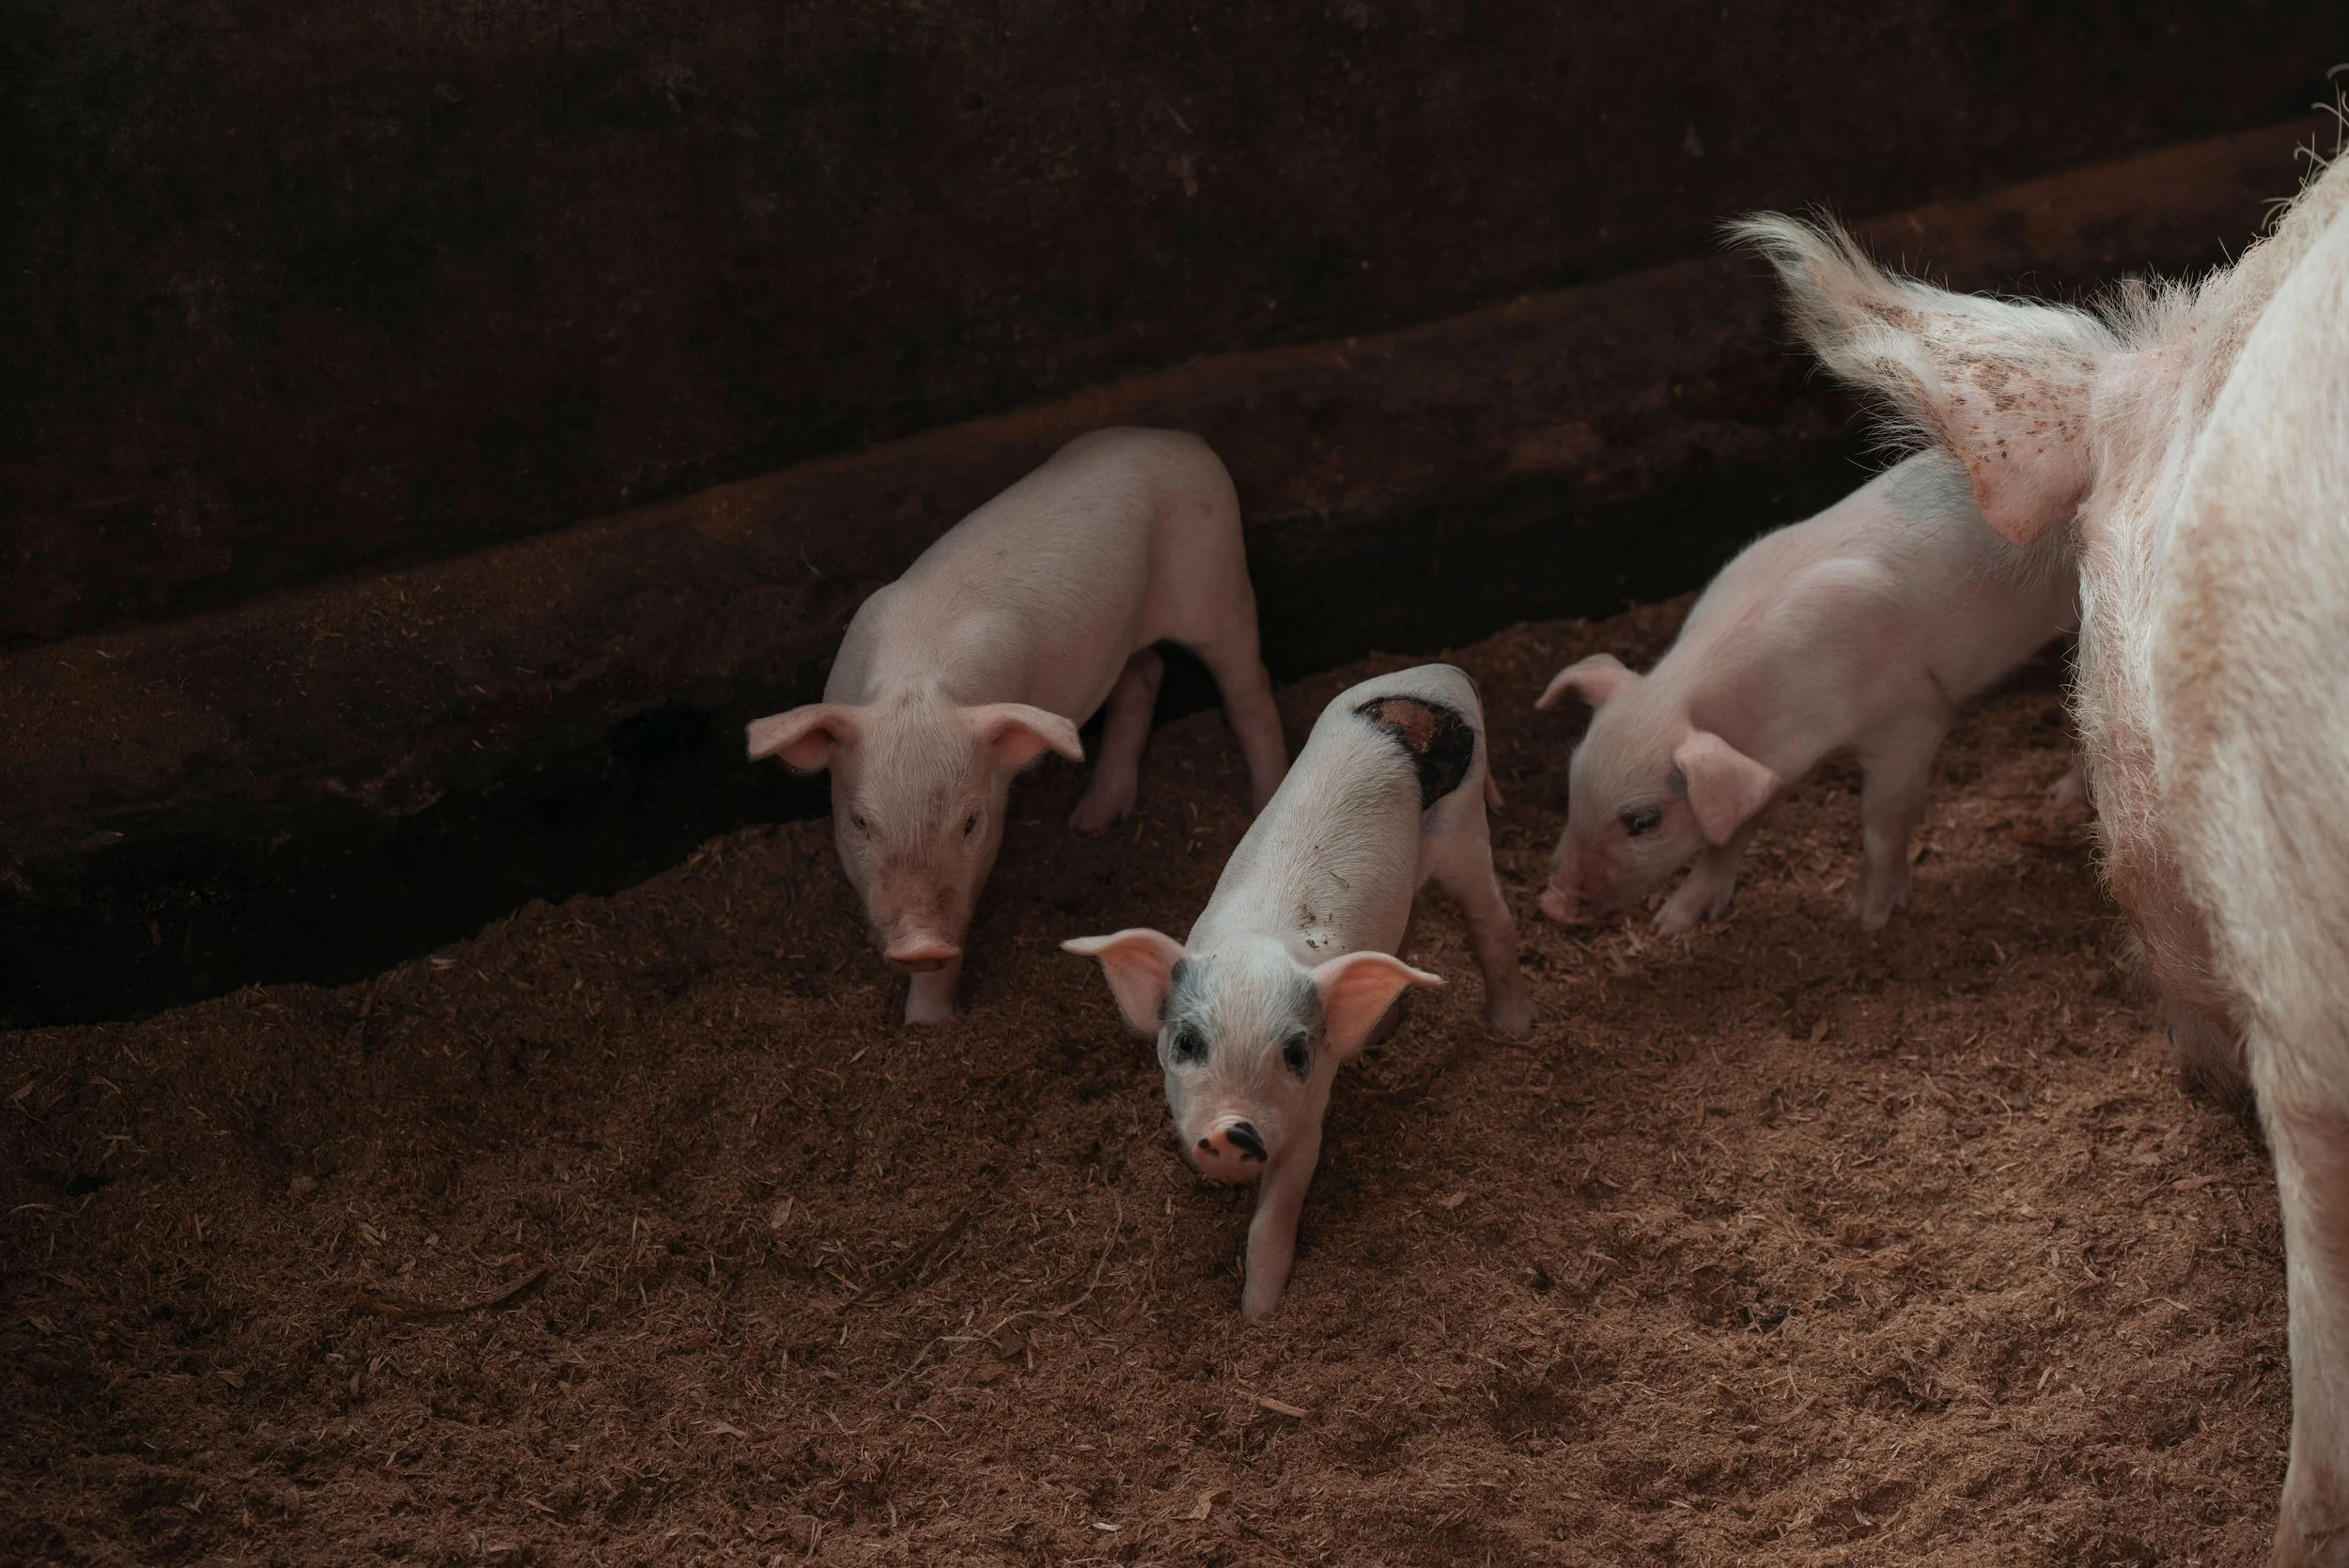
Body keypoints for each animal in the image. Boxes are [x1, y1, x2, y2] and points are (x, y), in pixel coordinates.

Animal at [746, 428, 1289, 1026]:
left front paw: (926, 1024)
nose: (920, 943)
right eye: (860, 822)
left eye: (970, 823)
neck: (915, 679)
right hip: (1124, 636)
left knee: (1249, 686)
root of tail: (1179, 437)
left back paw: (1265, 795)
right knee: (1144, 675)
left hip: (1219, 583)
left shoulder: (992, 809)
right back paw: (1090, 822)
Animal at [1062, 663, 1535, 1318]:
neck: (1260, 944)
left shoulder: (1309, 1114)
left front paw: (1257, 1316)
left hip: (1466, 831)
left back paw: (1514, 1025)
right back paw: (1383, 1033)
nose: (1232, 1131)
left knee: (1493, 920)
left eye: (1295, 1054)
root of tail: (1440, 673)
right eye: (1186, 1043)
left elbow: (1276, 1213)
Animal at [1534, 450, 2077, 935]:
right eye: (1572, 788)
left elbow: (1881, 827)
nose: (1552, 902)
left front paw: (1866, 922)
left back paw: (2058, 799)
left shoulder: (1911, 722)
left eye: (1644, 821)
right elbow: (1726, 837)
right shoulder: (1755, 768)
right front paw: (1670, 926)